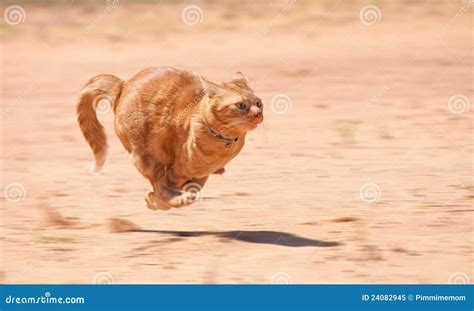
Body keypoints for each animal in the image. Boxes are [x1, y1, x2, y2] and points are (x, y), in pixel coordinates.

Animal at [76, 66, 264, 211]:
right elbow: (164, 190)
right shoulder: (176, 171)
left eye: (258, 103)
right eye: (241, 105)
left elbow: (194, 188)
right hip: (146, 155)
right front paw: (156, 201)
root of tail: (123, 85)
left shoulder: (200, 175)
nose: (258, 114)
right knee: (160, 186)